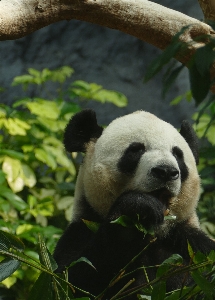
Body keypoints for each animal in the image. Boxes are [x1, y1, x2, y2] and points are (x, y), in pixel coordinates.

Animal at [54, 109, 215, 298]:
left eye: (178, 154)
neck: (156, 234)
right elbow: (74, 280)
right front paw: (138, 208)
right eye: (136, 150)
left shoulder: (192, 244)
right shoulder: (81, 230)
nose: (166, 171)